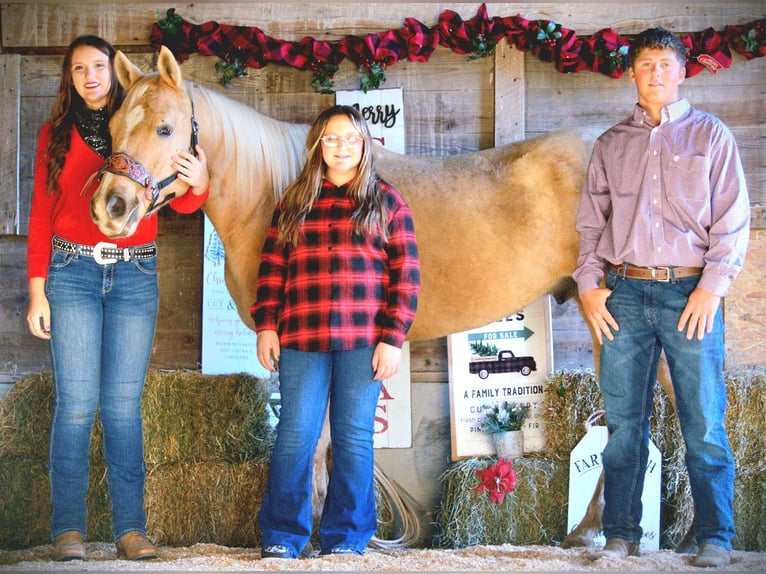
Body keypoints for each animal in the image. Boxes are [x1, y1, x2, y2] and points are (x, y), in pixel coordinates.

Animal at [90, 45, 689, 551]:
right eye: (113, 125)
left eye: (166, 127)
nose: (110, 207)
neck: (278, 189)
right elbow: (325, 439)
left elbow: (316, 440)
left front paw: (316, 534)